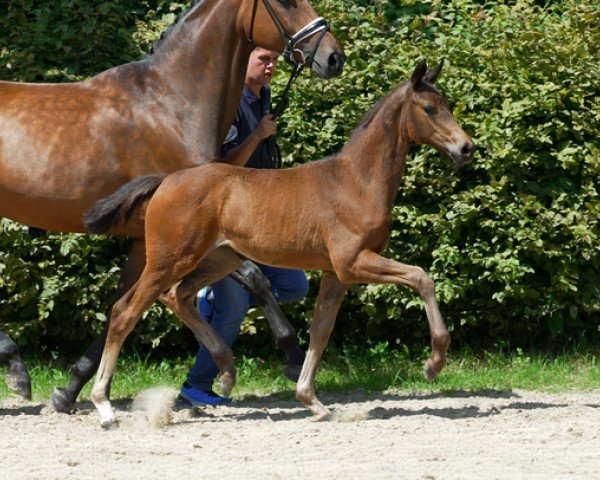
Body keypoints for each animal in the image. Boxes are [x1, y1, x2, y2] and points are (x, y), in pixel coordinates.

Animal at [85, 61, 478, 428]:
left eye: (446, 104)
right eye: (428, 108)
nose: (467, 148)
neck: (356, 181)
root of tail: (166, 181)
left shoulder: (336, 274)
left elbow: (321, 329)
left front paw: (312, 401)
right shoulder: (353, 261)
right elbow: (421, 277)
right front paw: (433, 363)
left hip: (218, 260)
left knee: (177, 296)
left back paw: (226, 372)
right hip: (169, 260)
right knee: (124, 312)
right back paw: (105, 406)